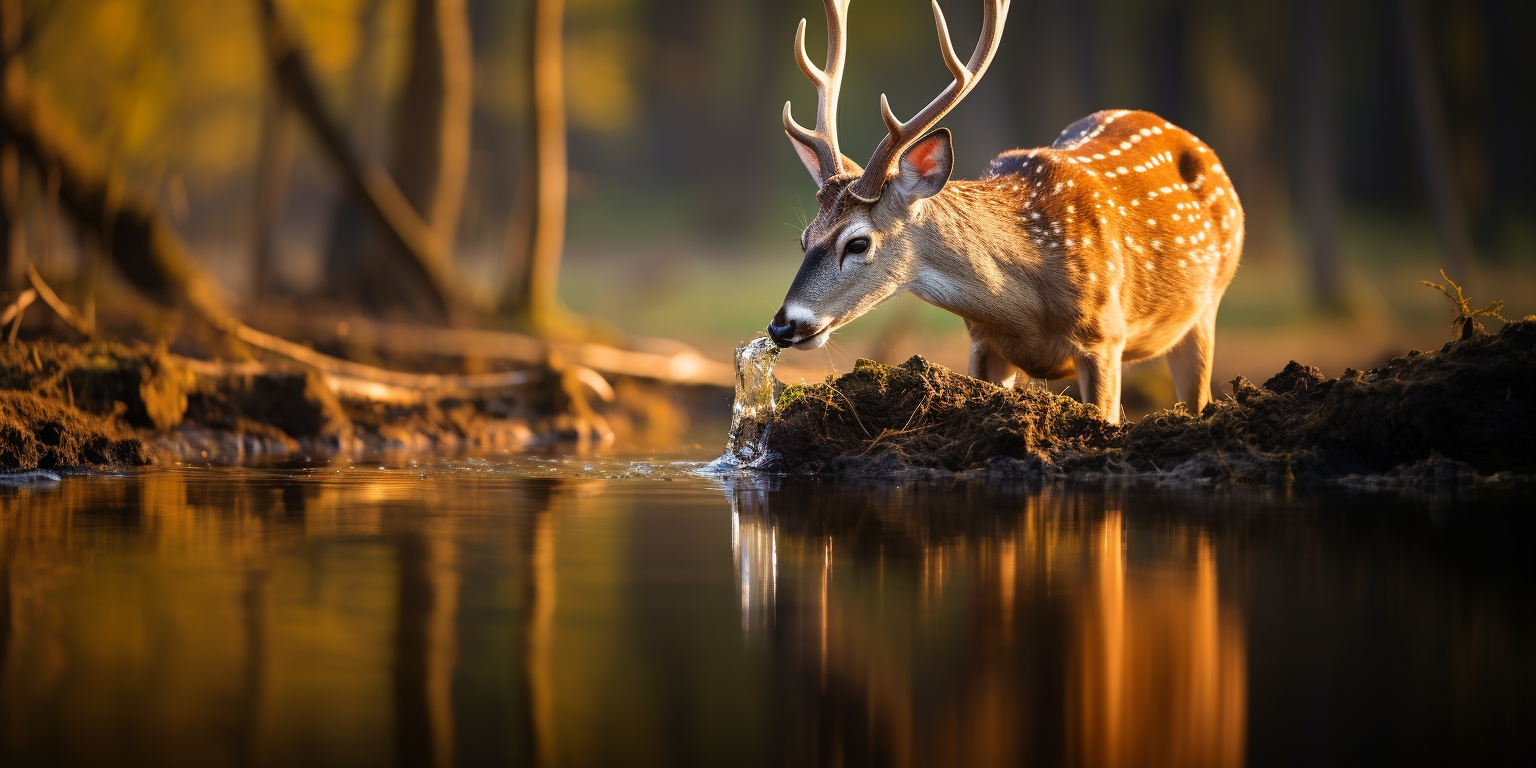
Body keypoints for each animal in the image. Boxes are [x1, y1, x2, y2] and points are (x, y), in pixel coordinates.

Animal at [768, 0, 1247, 427]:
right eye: (804, 238)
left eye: (858, 242)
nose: (782, 327)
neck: (1027, 309)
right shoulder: (983, 342)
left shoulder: (1104, 338)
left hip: (1207, 306)